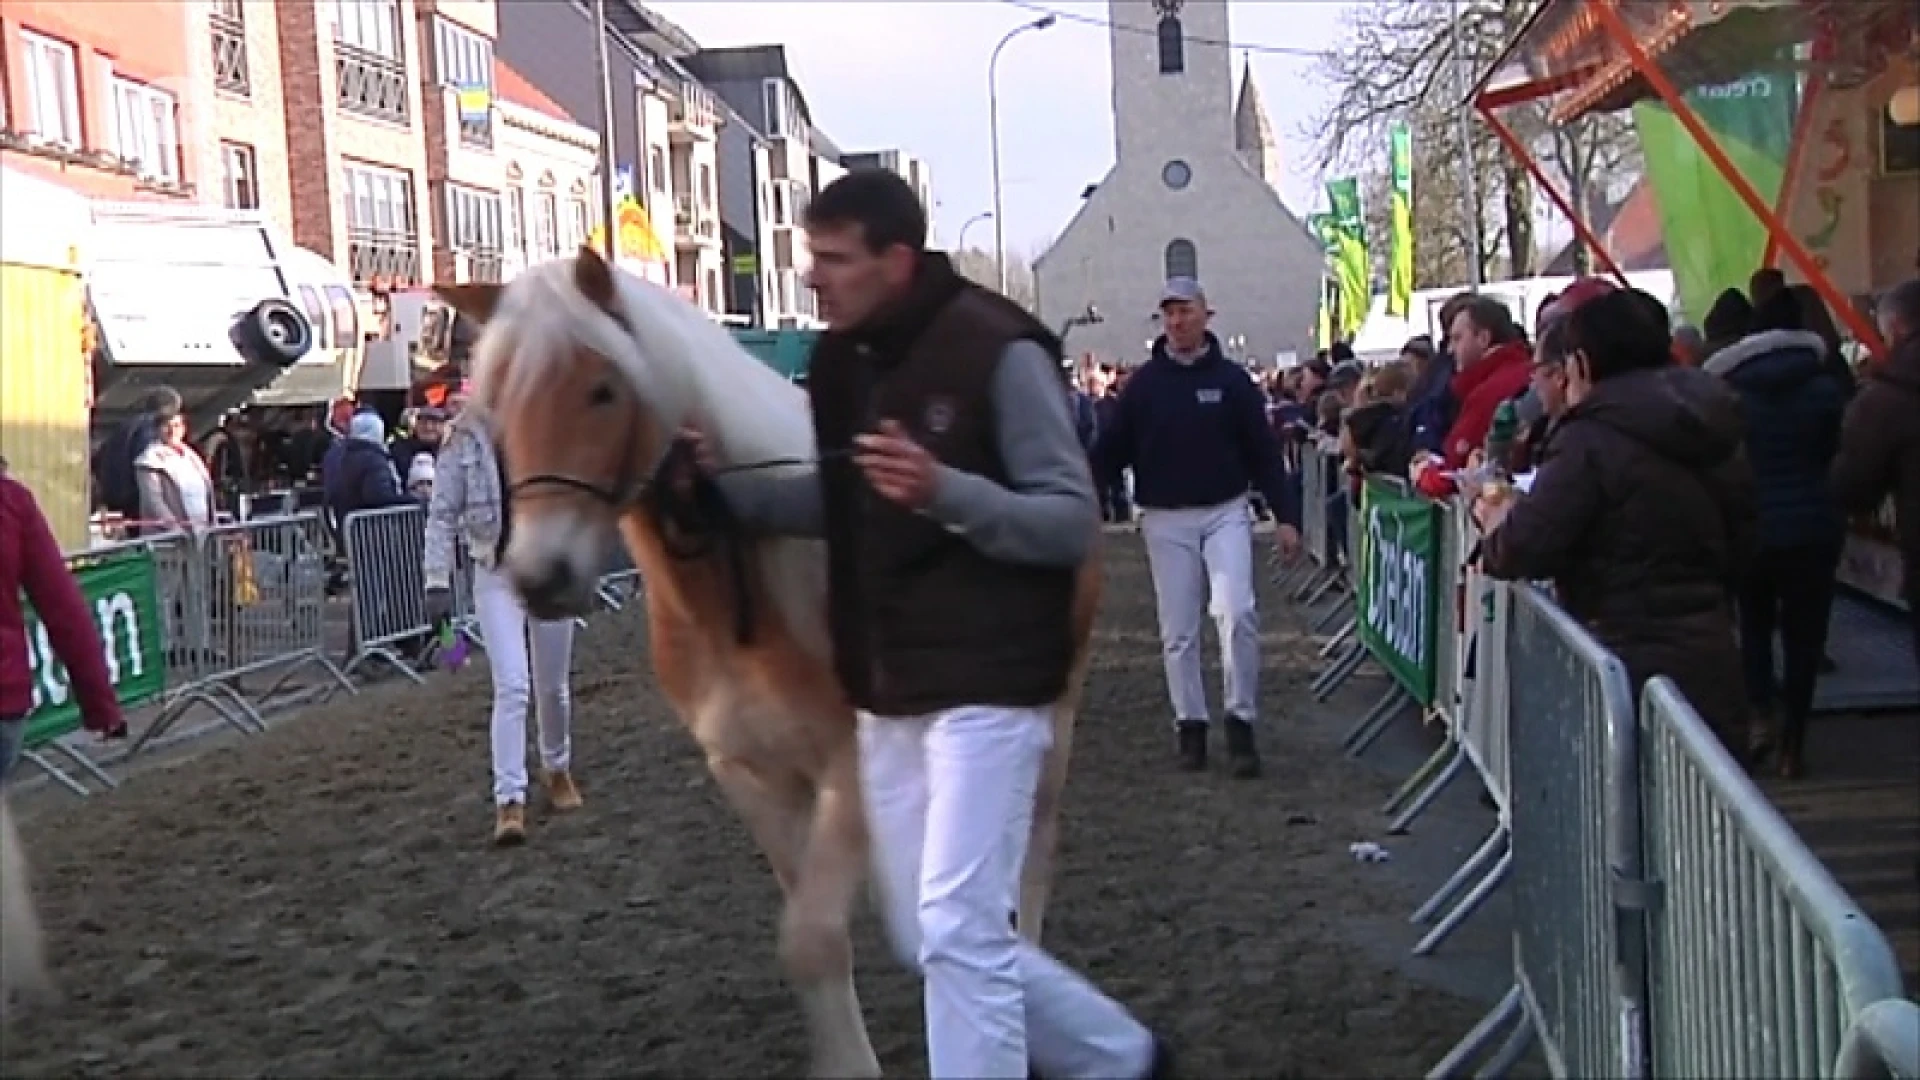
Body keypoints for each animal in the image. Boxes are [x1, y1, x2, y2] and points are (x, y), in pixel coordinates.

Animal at [433, 245, 1098, 1076]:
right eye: (495, 404)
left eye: (603, 389)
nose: (538, 576)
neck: (734, 600)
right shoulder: (748, 773)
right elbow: (816, 938)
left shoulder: (847, 766)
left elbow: (812, 939)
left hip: (1052, 718)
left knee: (1032, 849)